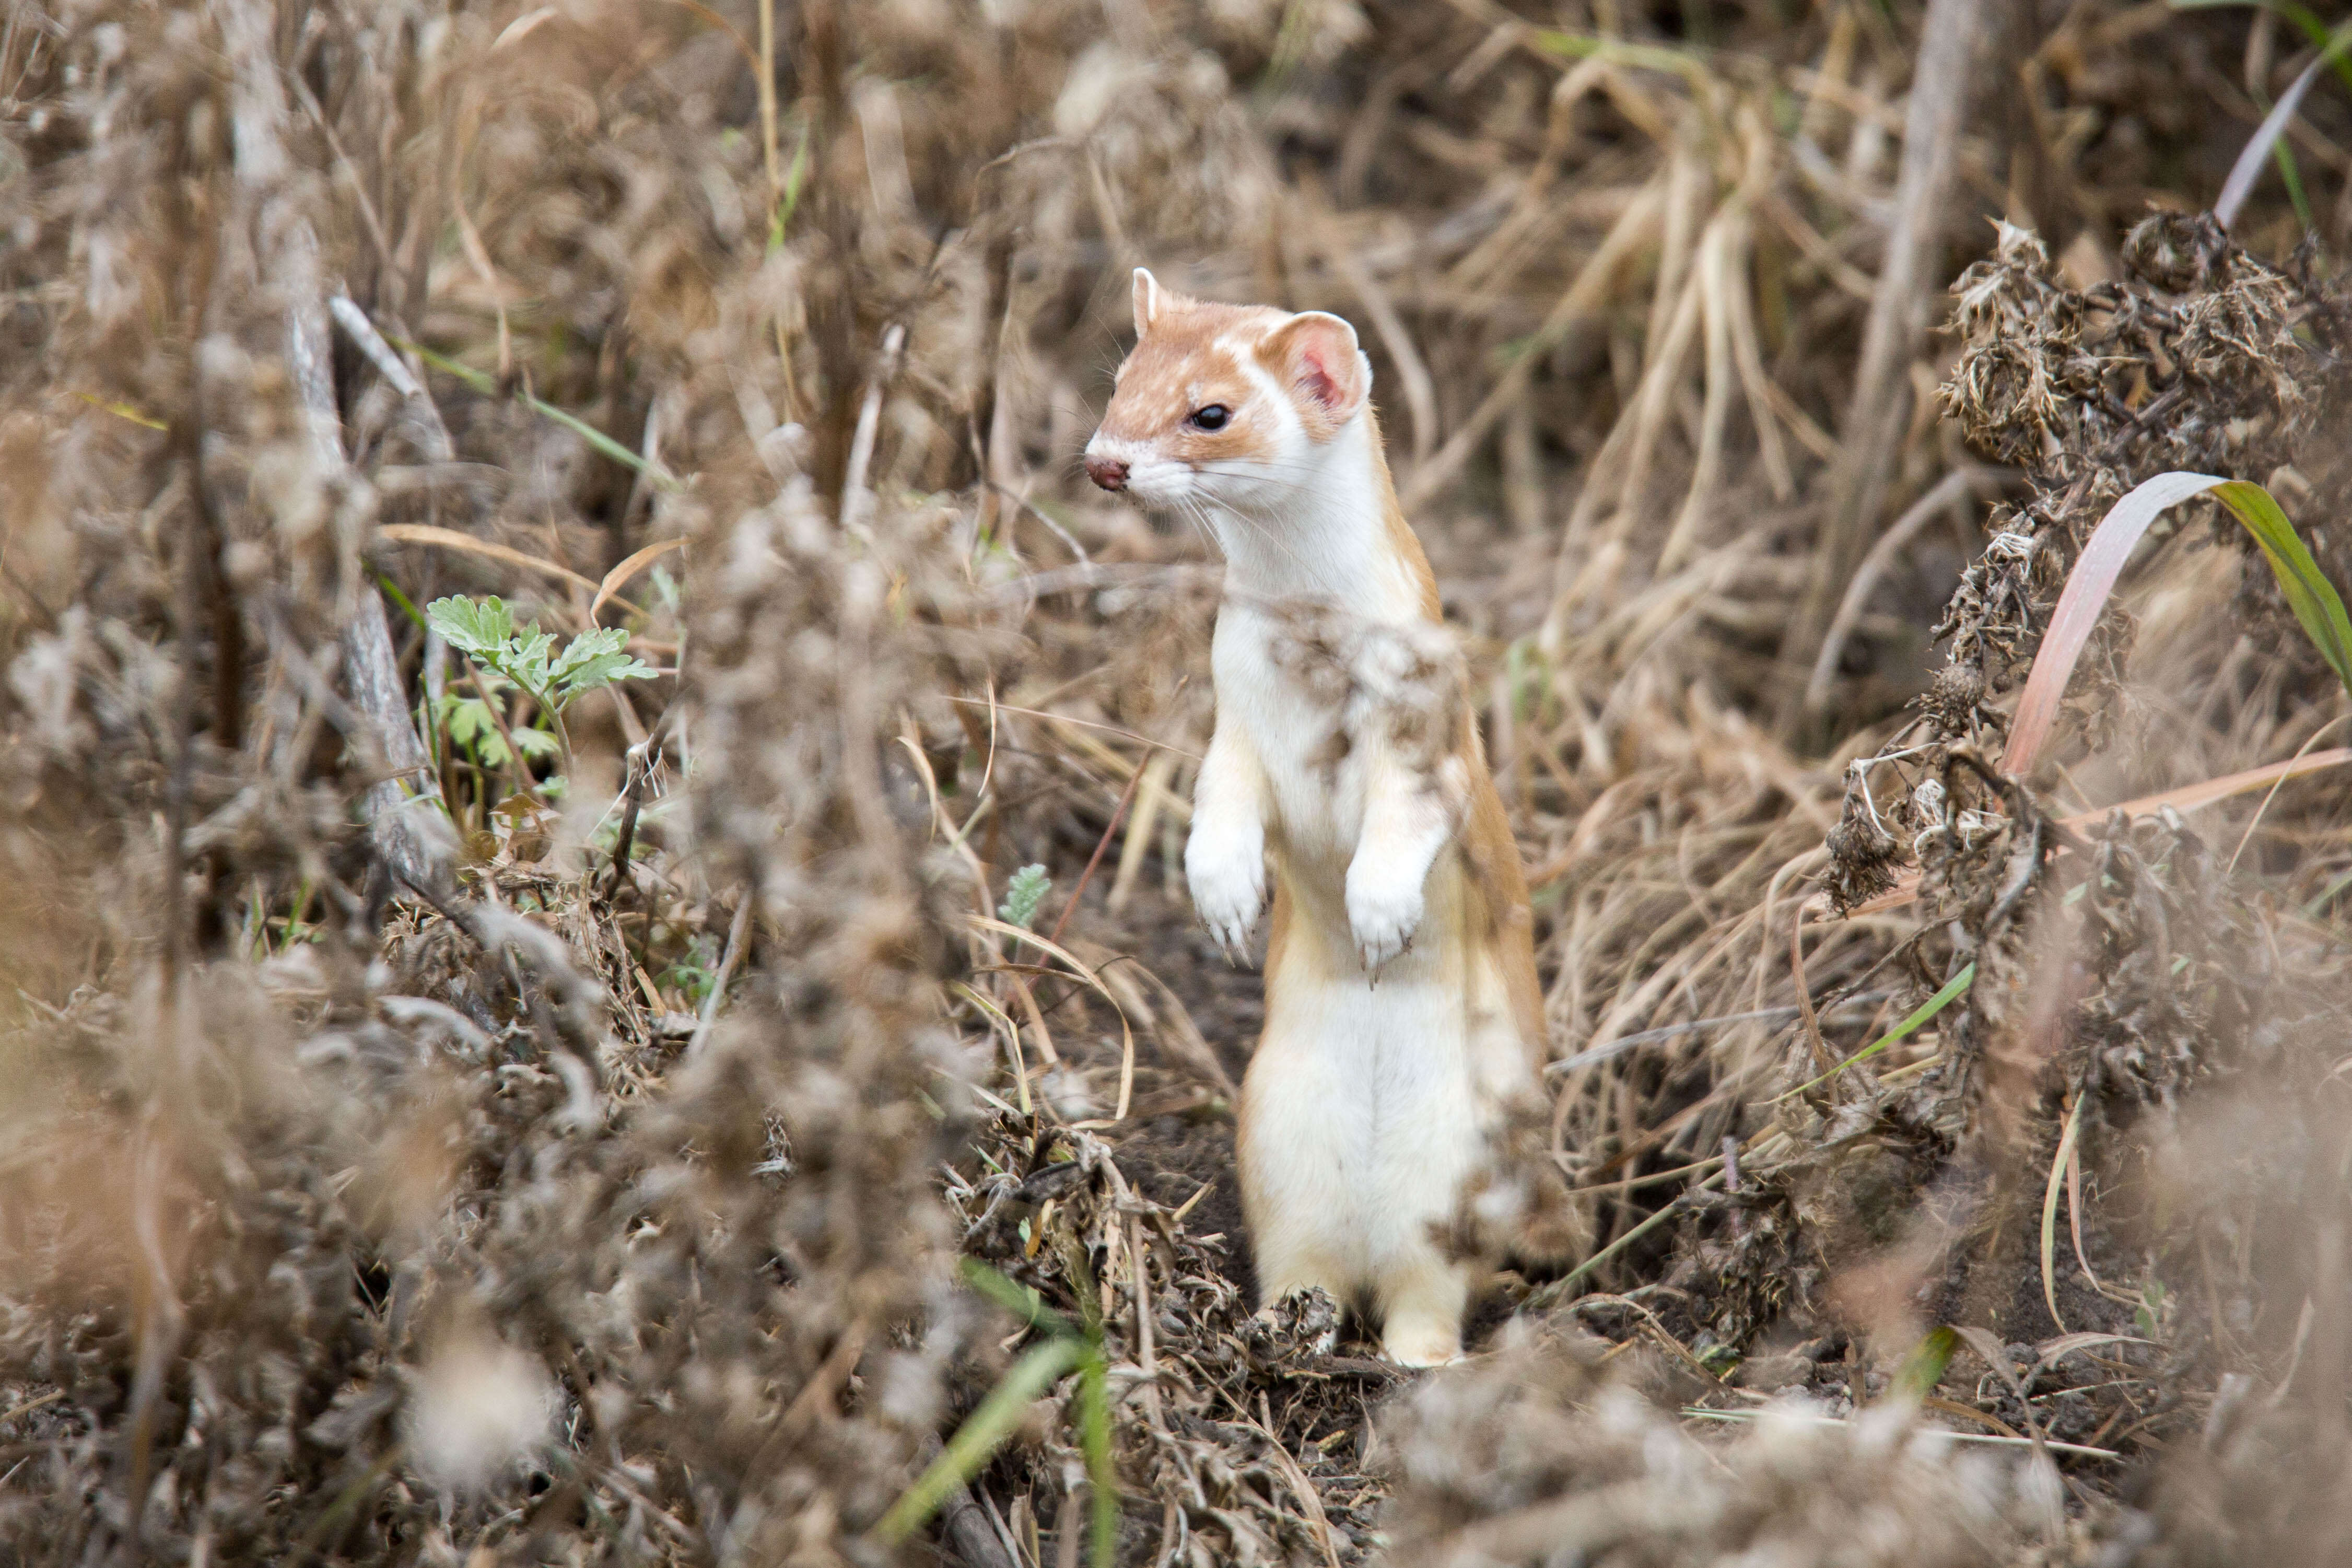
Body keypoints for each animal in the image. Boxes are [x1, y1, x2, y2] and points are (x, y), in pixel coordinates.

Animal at [1086, 266, 1571, 1363]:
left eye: (1210, 412)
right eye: (1120, 382)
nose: (1102, 461)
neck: (1309, 679)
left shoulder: (1426, 733)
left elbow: (1405, 824)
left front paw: (1378, 915)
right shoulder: (1234, 722)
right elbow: (1220, 806)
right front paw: (1225, 899)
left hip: (1462, 1172)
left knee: (1429, 1292)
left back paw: (1419, 1357)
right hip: (1275, 1136)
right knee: (1303, 1258)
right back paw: (1285, 1324)